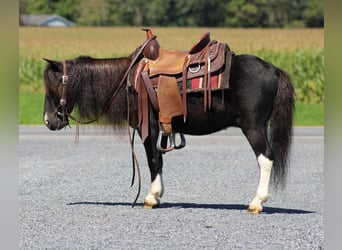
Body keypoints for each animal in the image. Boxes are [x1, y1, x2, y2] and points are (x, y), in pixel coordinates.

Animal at [42, 44, 294, 214]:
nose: (47, 121)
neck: (128, 81)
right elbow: (159, 159)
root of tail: (274, 70)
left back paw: (257, 202)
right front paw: (157, 195)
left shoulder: (148, 128)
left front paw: (151, 197)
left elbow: (153, 159)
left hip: (254, 127)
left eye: (54, 86)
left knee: (266, 158)